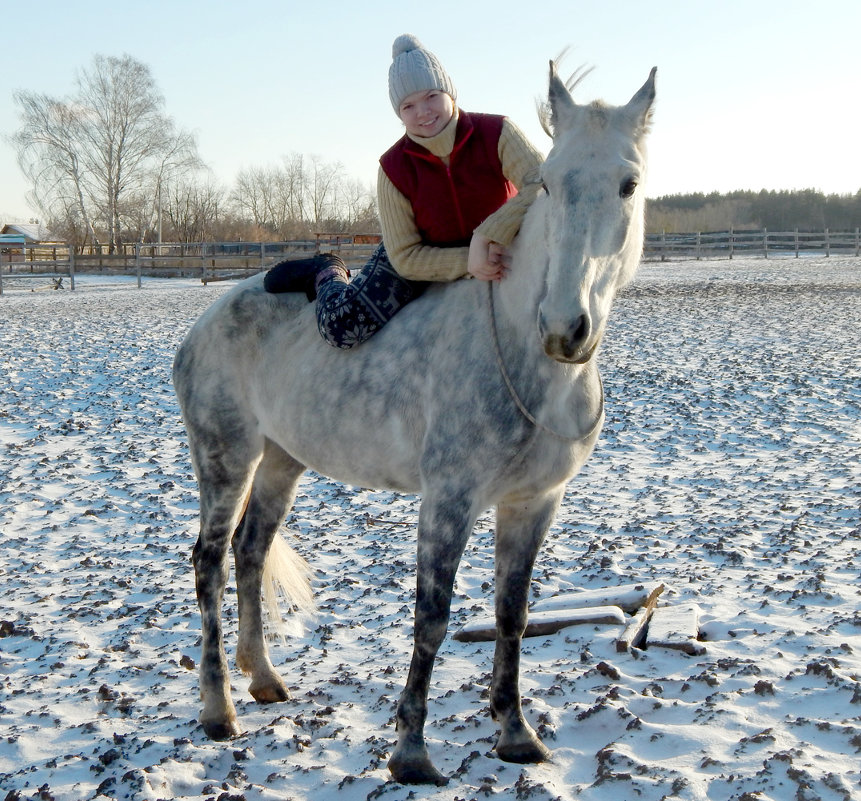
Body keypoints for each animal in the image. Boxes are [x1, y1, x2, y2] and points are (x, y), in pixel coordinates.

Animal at [176, 61, 660, 780]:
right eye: (547, 181)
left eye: (628, 184)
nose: (564, 328)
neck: (520, 355)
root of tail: (205, 323)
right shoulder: (449, 499)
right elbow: (430, 617)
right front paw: (409, 752)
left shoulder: (533, 503)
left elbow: (512, 614)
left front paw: (514, 733)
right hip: (226, 459)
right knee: (209, 562)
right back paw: (218, 711)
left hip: (281, 461)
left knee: (250, 551)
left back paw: (263, 678)